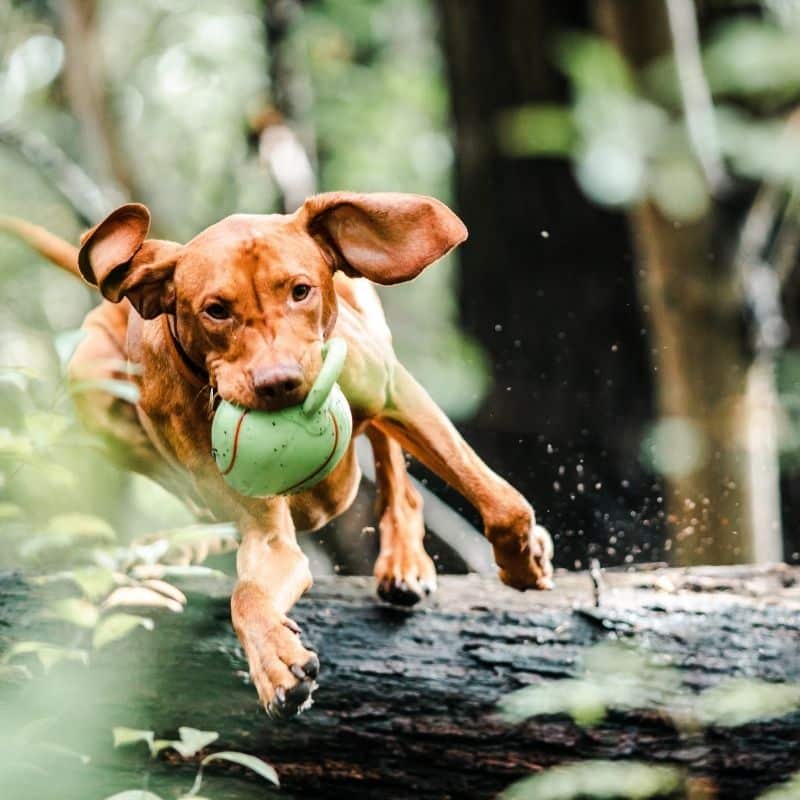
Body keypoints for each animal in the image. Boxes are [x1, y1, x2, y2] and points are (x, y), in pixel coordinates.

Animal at [1, 195, 552, 720]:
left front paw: (523, 561)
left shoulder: (396, 393)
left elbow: (502, 504)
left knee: (394, 466)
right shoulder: (266, 534)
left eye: (300, 290)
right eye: (216, 309)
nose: (280, 382)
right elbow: (247, 593)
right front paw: (275, 663)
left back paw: (404, 559)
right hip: (91, 376)